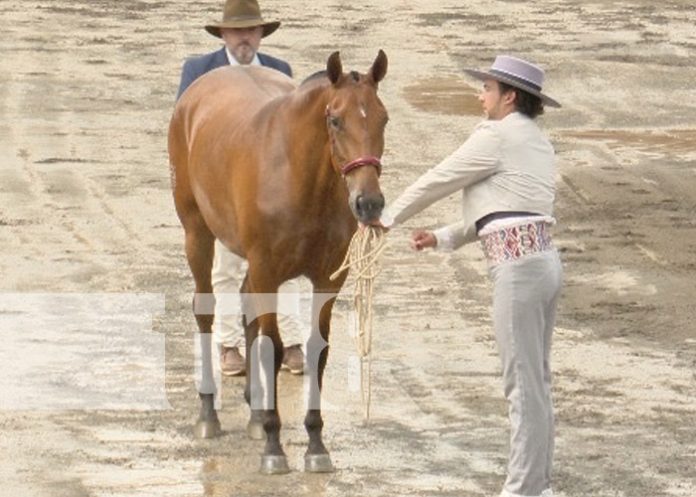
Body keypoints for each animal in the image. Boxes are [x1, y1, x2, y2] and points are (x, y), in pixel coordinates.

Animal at [167, 50, 388, 472]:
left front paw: (315, 444)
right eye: (335, 119)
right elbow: (272, 345)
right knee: (206, 311)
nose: (369, 203)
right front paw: (274, 446)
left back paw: (255, 413)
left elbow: (316, 348)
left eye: (383, 118)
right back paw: (209, 414)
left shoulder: (327, 279)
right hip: (197, 234)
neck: (300, 177)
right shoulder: (267, 270)